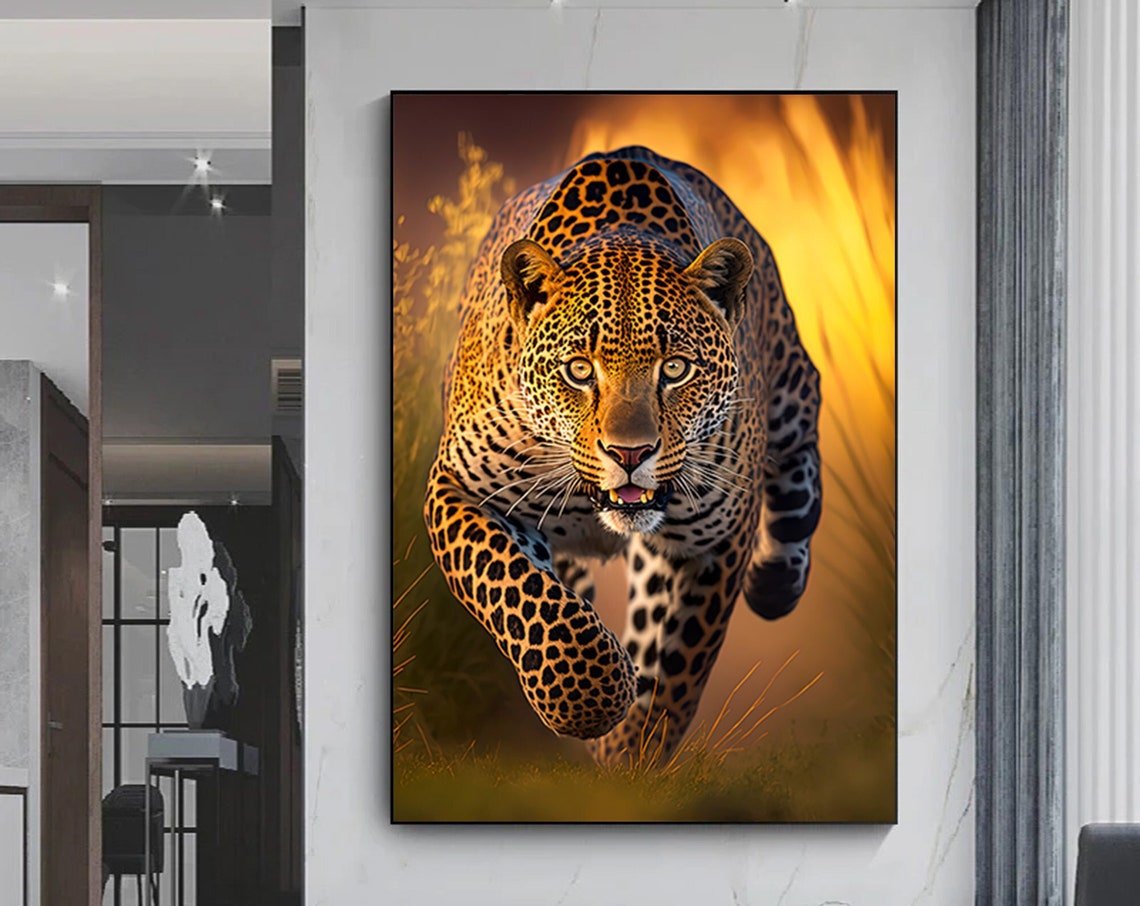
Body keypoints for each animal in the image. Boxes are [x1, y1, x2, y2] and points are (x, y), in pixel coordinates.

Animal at [423, 145, 821, 767]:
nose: (629, 453)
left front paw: (631, 754)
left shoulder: (713, 543)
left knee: (799, 468)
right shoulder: (462, 488)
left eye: (675, 368)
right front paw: (588, 698)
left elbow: (678, 665)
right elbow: (515, 584)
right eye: (579, 370)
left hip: (789, 387)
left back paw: (777, 580)